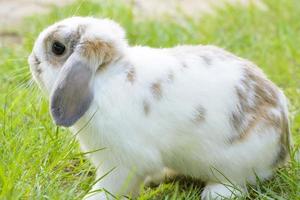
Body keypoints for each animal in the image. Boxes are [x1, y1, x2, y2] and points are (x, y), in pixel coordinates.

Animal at [28, 16, 290, 199]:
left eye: (57, 48)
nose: (32, 59)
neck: (104, 77)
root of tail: (282, 146)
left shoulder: (120, 161)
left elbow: (109, 187)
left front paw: (92, 198)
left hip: (234, 163)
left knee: (237, 183)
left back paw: (215, 193)